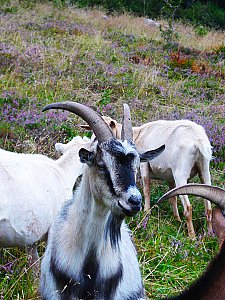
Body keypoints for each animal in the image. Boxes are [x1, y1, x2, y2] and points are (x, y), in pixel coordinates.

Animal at [83, 117, 213, 239]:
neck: (138, 134)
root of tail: (198, 140)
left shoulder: (143, 166)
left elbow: (146, 190)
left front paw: (146, 213)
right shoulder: (170, 178)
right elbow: (173, 198)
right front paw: (177, 220)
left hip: (180, 174)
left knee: (188, 207)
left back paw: (192, 237)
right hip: (204, 172)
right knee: (209, 207)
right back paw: (209, 234)